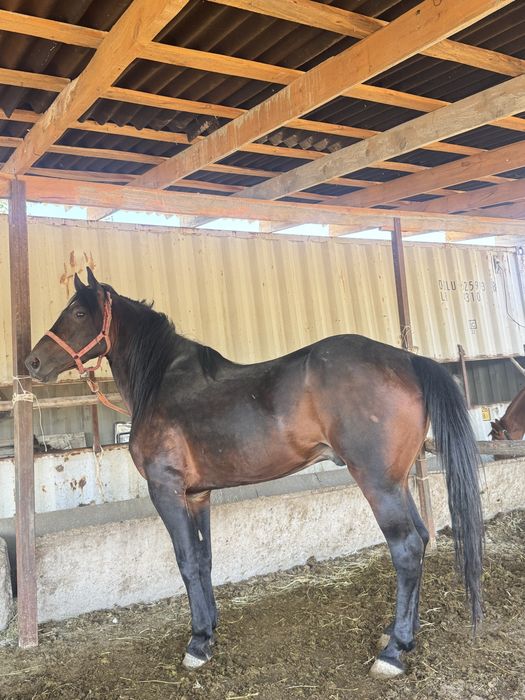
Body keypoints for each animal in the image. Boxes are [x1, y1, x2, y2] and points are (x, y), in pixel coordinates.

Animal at [25, 268, 484, 680]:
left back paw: (392, 654)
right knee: (421, 539)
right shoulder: (197, 495)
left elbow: (186, 561)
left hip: (378, 484)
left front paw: (196, 644)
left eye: (78, 313)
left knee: (406, 548)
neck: (162, 384)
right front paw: (209, 630)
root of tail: (407, 359)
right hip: (398, 480)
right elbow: (204, 559)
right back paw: (400, 635)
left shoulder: (166, 490)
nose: (32, 362)